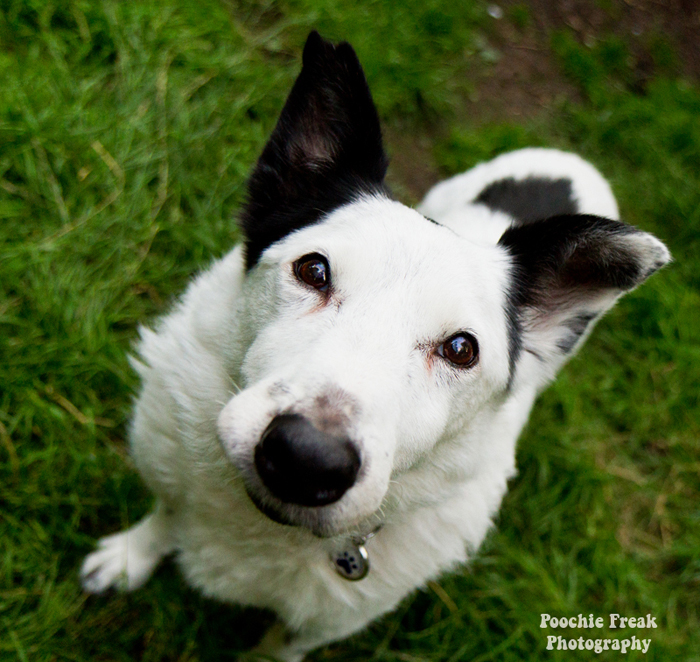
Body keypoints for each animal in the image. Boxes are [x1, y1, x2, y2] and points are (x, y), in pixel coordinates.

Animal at [79, 28, 668, 660]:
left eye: (462, 349)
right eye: (313, 270)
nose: (305, 458)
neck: (265, 525)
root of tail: (572, 162)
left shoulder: (325, 624)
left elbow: (279, 646)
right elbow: (165, 514)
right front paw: (131, 556)